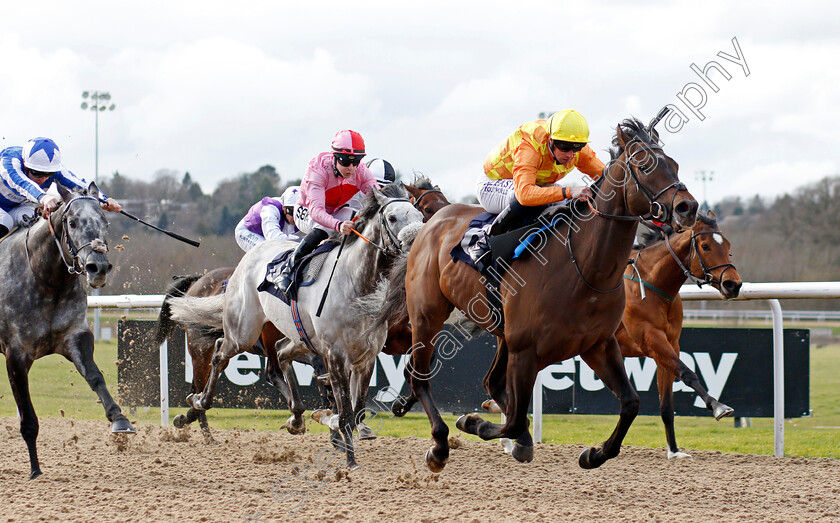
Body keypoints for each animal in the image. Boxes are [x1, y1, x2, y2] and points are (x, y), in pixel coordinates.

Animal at [0, 183, 134, 478]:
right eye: (72, 222)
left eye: (105, 222)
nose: (98, 267)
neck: (45, 279)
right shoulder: (16, 355)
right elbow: (27, 416)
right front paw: (35, 469)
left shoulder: (75, 336)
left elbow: (95, 377)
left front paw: (119, 419)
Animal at [169, 186, 426, 468]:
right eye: (391, 217)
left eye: (420, 216)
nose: (416, 246)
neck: (357, 285)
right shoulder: (335, 356)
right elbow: (345, 411)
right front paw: (349, 460)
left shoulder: (366, 357)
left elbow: (356, 410)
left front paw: (332, 425)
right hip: (243, 331)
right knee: (219, 354)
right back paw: (198, 402)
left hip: (296, 336)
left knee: (280, 354)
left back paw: (295, 416)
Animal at [384, 116, 700, 472]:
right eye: (645, 166)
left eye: (674, 165)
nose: (688, 207)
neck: (584, 268)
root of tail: (428, 225)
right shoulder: (526, 350)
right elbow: (514, 420)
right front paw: (471, 421)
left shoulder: (599, 344)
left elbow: (630, 403)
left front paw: (594, 454)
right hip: (427, 313)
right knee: (420, 376)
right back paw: (439, 445)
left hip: (502, 334)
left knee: (491, 384)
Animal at [616, 212, 740, 458]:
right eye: (705, 245)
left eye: (728, 246)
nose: (733, 284)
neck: (651, 285)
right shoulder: (652, 340)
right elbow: (687, 373)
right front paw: (718, 406)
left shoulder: (670, 345)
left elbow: (667, 405)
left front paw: (673, 451)